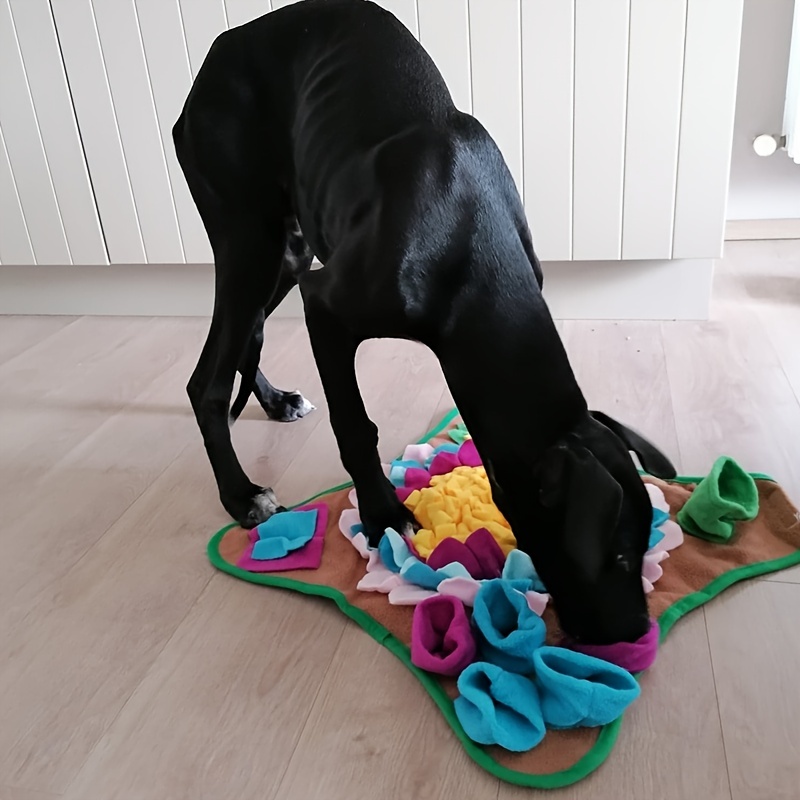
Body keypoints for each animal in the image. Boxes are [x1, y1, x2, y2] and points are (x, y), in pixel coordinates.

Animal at [173, 0, 676, 644]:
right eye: (613, 555)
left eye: (642, 544)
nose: (637, 633)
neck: (470, 245)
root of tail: (214, 56)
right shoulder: (325, 307)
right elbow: (354, 424)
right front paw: (382, 513)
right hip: (250, 244)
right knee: (207, 380)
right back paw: (241, 496)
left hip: (288, 250)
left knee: (241, 342)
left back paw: (277, 401)